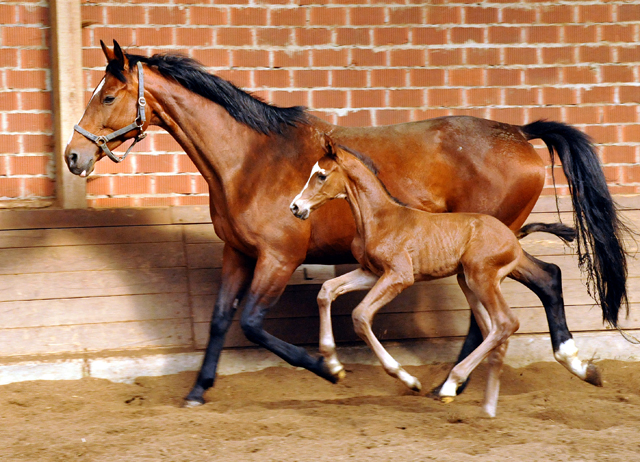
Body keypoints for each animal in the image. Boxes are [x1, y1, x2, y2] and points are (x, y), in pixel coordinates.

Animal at [292, 139, 552, 416]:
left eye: (321, 175)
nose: (295, 207)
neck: (379, 219)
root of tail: (513, 238)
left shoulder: (400, 276)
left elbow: (360, 315)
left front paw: (409, 380)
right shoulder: (372, 273)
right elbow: (326, 290)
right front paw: (333, 365)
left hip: (481, 278)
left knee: (505, 323)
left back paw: (450, 386)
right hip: (469, 282)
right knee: (493, 331)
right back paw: (487, 407)